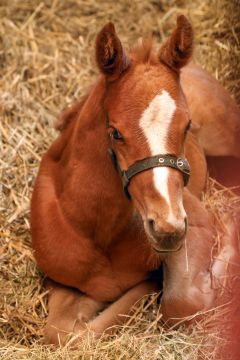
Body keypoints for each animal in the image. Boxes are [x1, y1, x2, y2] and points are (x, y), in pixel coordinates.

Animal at [31, 15, 238, 344]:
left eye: (187, 125)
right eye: (115, 132)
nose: (167, 228)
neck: (96, 229)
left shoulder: (195, 221)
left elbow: (181, 302)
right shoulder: (61, 279)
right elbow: (63, 332)